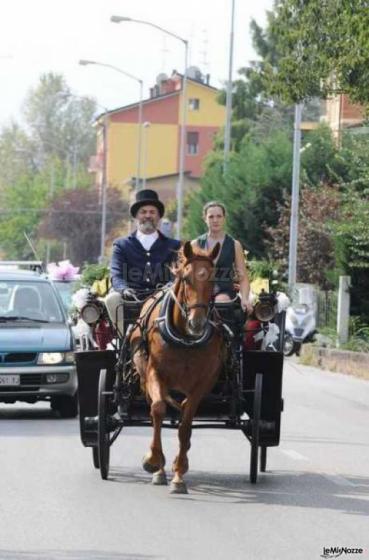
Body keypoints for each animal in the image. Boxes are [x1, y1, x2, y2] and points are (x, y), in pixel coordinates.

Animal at [132, 241, 224, 494]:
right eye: (186, 278)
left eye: (213, 279)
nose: (197, 323)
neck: (185, 339)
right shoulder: (155, 374)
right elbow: (158, 410)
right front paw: (153, 461)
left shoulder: (202, 383)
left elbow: (185, 426)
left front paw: (179, 474)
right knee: (156, 413)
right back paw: (159, 469)